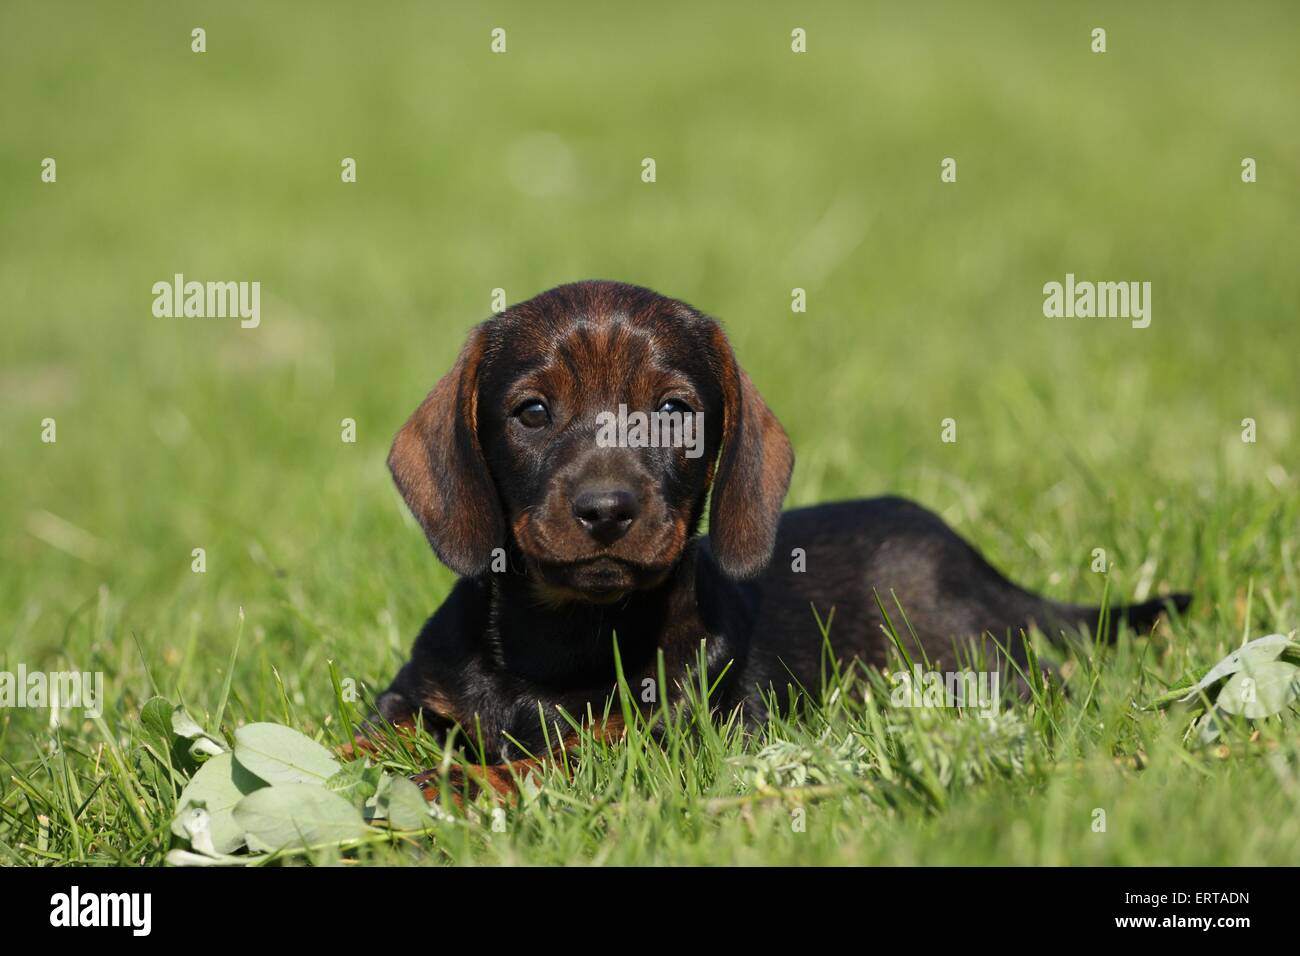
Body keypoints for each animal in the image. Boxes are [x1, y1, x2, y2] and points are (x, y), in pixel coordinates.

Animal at [371, 280, 1190, 790]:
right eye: (533, 412)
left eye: (674, 411)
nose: (606, 509)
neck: (562, 636)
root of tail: (965, 554)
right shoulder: (410, 702)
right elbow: (366, 736)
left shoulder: (647, 744)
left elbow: (532, 764)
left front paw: (443, 787)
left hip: (964, 656)